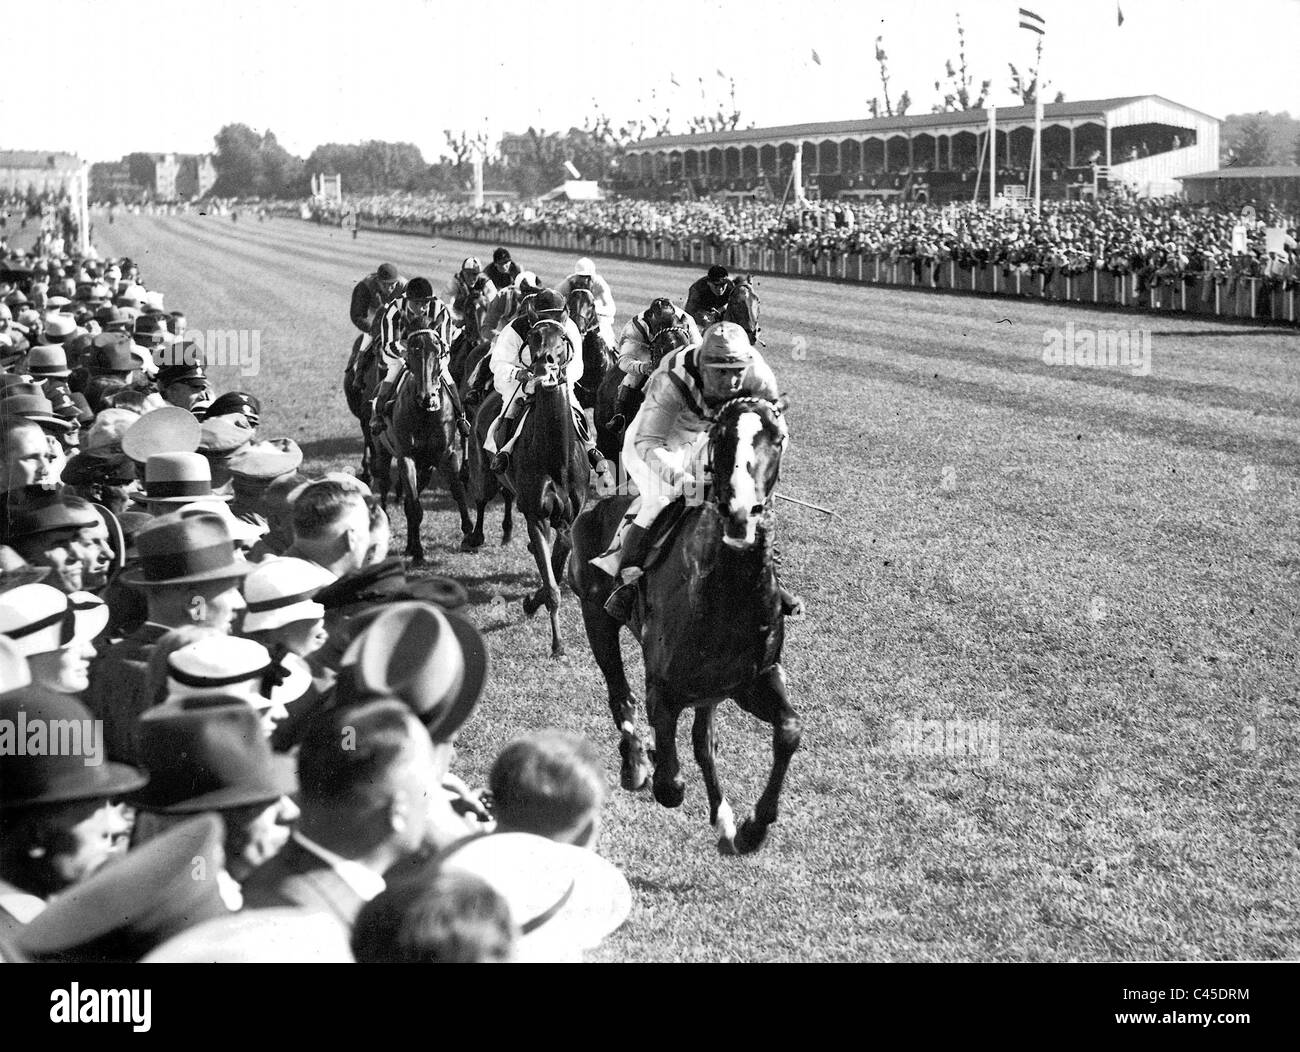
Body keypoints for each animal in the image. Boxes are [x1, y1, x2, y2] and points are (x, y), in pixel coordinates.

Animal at [374, 327, 475, 561]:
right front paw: (418, 550)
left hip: (426, 468)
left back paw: (410, 544)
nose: (427, 397)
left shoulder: (446, 455)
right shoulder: (406, 457)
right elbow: (414, 505)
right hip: (382, 451)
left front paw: (469, 535)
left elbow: (458, 492)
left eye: (437, 353)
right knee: (384, 484)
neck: (426, 414)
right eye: (412, 353)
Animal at [572, 395, 795, 853]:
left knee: (702, 742)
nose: (741, 513)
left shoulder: (754, 679)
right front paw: (653, 759)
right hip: (595, 616)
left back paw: (723, 818)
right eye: (721, 436)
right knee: (620, 696)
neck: (727, 597)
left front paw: (753, 826)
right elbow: (670, 785)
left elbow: (789, 731)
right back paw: (636, 762)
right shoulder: (664, 687)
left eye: (777, 438)